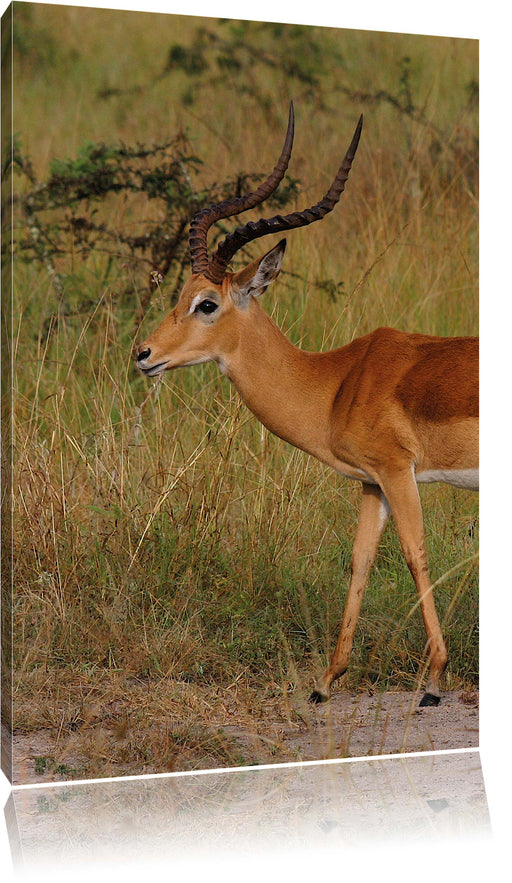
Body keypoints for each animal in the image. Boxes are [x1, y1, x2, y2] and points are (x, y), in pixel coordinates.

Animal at [137, 103, 480, 708]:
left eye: (208, 303)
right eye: (179, 294)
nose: (144, 355)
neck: (338, 381)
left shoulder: (398, 471)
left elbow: (416, 554)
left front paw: (435, 681)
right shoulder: (371, 483)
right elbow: (360, 562)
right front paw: (325, 681)